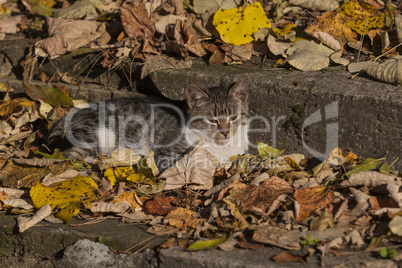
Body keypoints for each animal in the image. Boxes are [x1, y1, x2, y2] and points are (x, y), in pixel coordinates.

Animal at [46, 76, 248, 171]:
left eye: (233, 118)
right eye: (212, 120)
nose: (225, 132)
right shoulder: (165, 154)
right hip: (99, 136)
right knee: (69, 155)